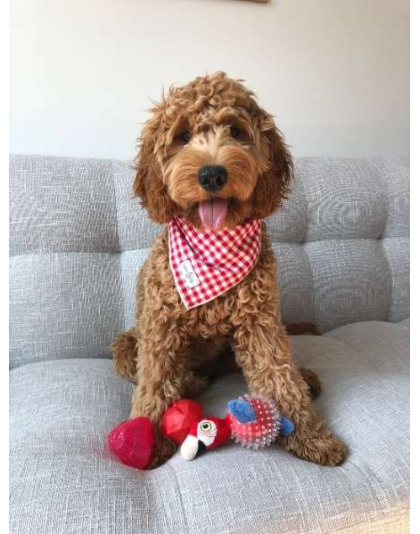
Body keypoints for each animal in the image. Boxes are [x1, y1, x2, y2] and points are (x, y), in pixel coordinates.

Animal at [110, 71, 346, 468]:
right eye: (182, 136)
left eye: (236, 131)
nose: (211, 175)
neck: (213, 246)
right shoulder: (160, 325)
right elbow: (155, 382)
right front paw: (148, 436)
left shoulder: (260, 322)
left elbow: (278, 375)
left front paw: (310, 435)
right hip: (128, 343)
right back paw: (190, 383)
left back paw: (304, 376)